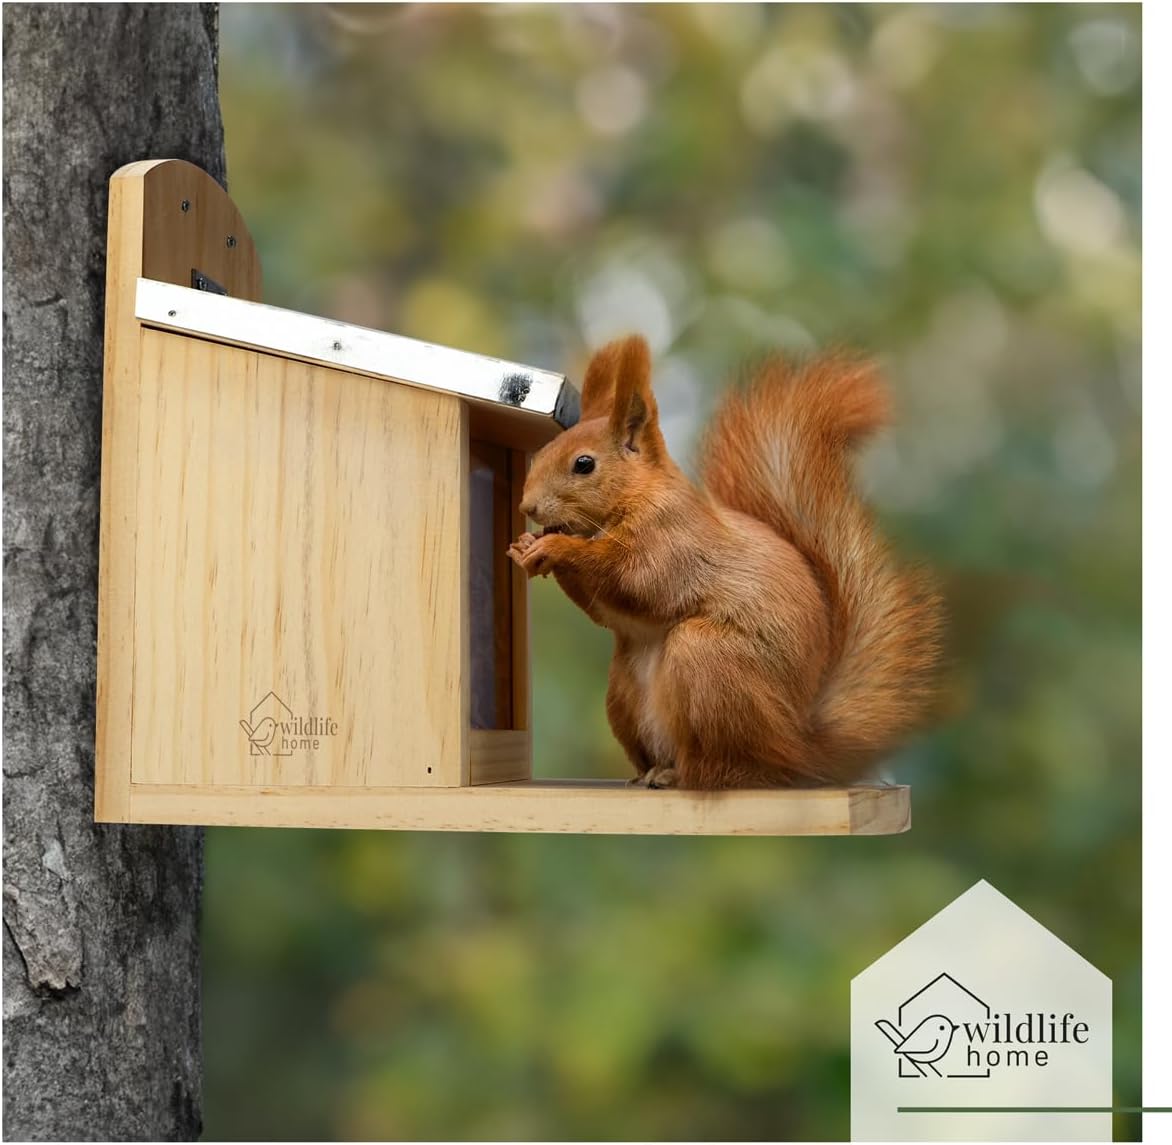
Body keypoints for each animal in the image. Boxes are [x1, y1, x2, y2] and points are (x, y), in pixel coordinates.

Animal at [507, 335, 943, 790]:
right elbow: (603, 609)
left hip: (707, 659)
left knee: (726, 770)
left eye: (584, 464)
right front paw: (526, 545)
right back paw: (648, 774)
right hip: (623, 693)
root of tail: (797, 749)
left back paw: (680, 776)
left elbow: (637, 581)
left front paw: (557, 548)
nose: (527, 507)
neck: (634, 497)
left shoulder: (674, 541)